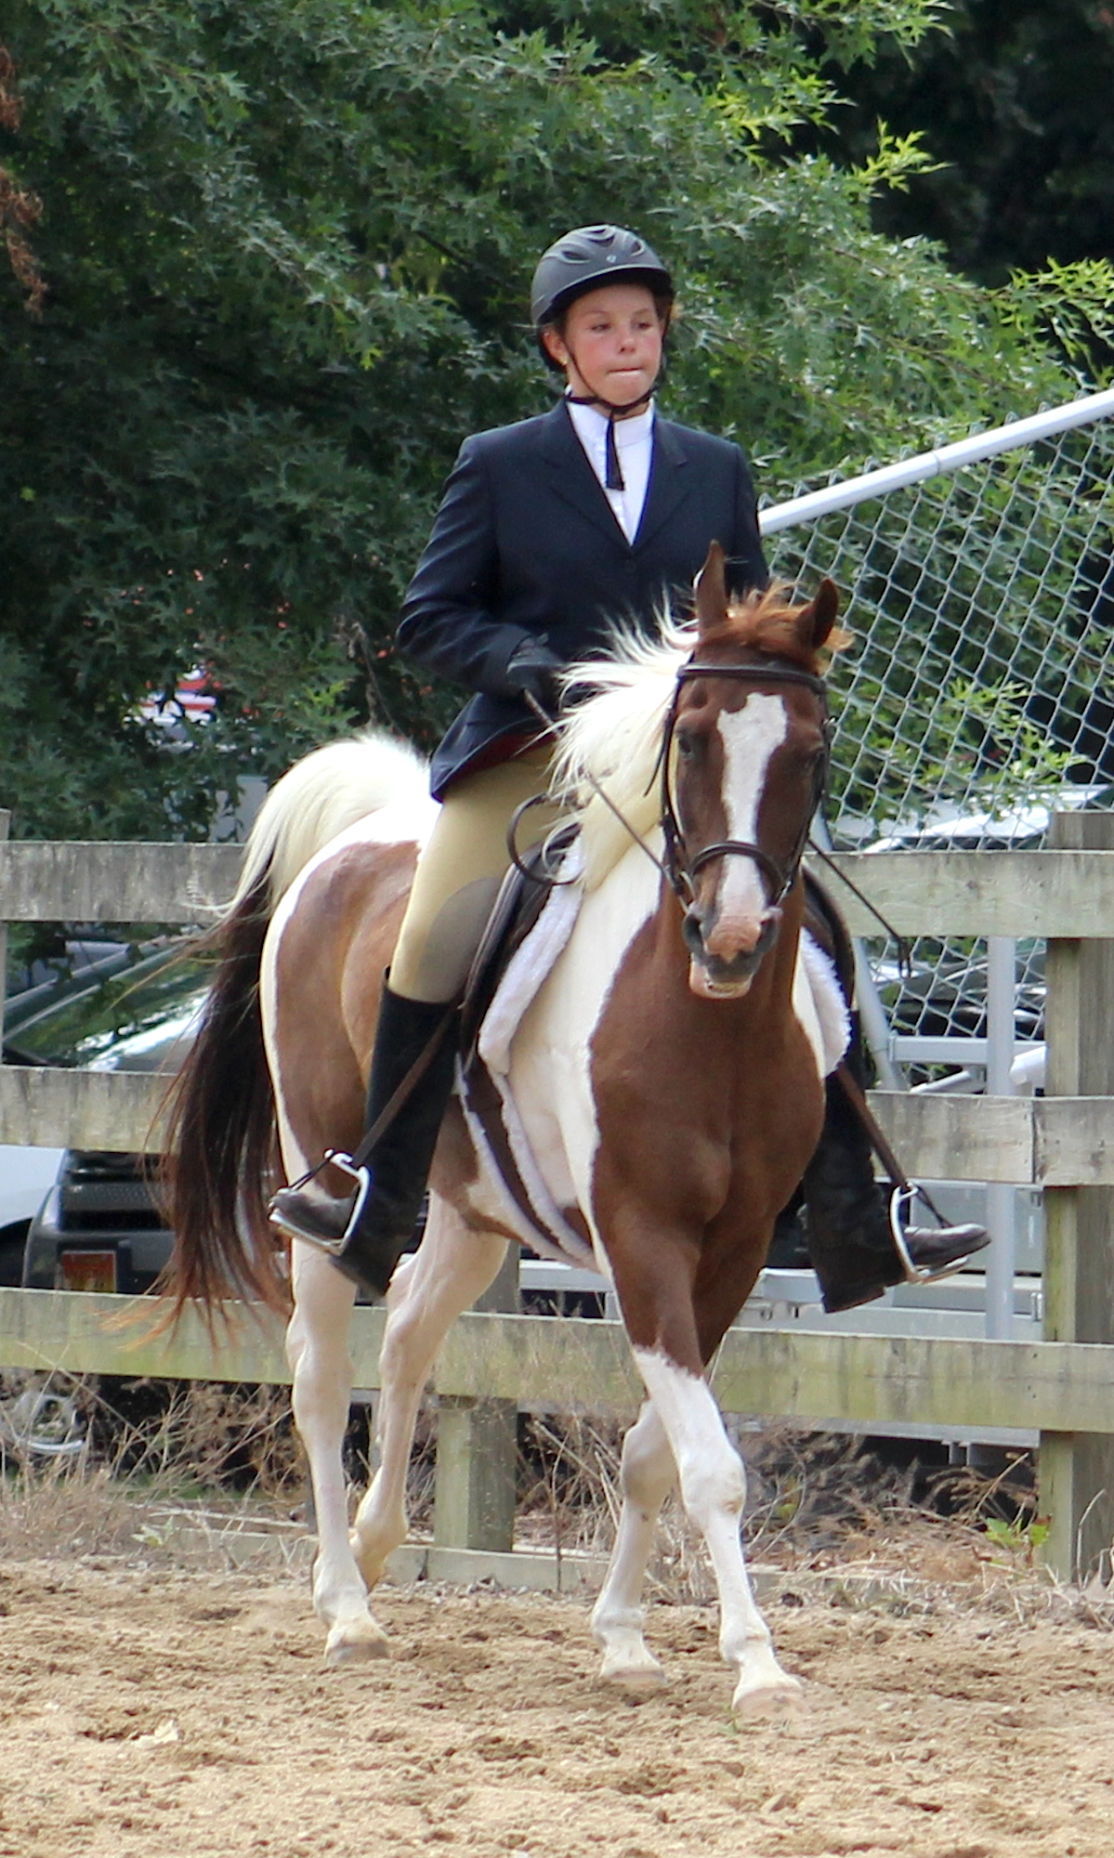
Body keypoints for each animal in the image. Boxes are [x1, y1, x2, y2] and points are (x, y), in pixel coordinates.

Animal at [162, 544, 847, 1715]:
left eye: (808, 751)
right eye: (691, 735)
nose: (731, 939)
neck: (704, 1024)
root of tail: (360, 835)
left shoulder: (735, 1252)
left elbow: (657, 1451)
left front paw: (625, 1639)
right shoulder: (642, 1241)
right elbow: (710, 1464)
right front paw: (756, 1663)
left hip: (470, 1211)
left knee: (405, 1331)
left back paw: (380, 1544)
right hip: (316, 1176)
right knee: (320, 1371)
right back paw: (345, 1606)